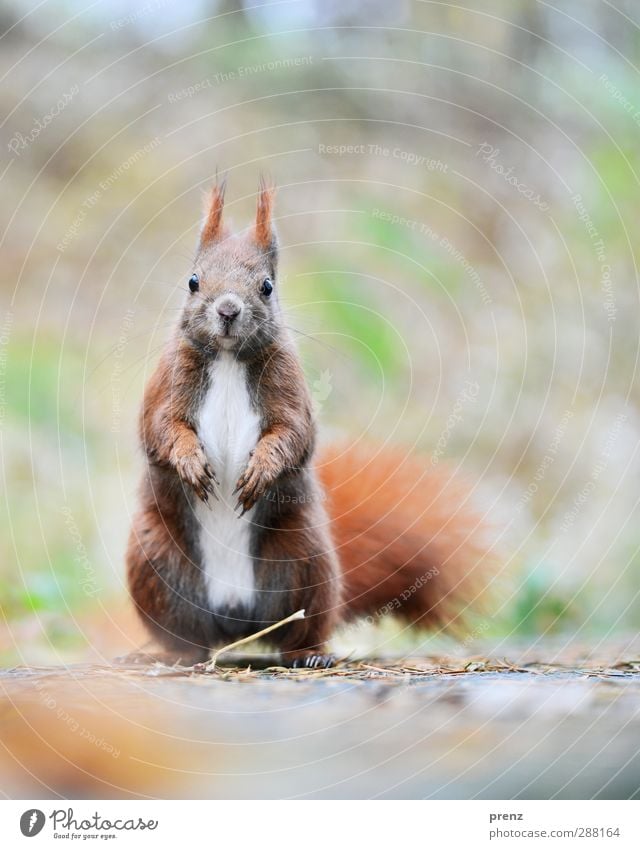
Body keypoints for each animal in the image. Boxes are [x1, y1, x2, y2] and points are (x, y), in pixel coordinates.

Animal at [126, 181, 496, 668]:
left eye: (267, 286)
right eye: (193, 281)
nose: (227, 310)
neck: (227, 359)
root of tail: (236, 621)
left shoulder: (290, 392)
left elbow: (292, 434)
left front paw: (261, 470)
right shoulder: (165, 387)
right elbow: (162, 428)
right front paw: (190, 463)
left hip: (304, 559)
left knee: (304, 625)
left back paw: (309, 655)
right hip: (156, 565)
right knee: (188, 633)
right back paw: (174, 654)